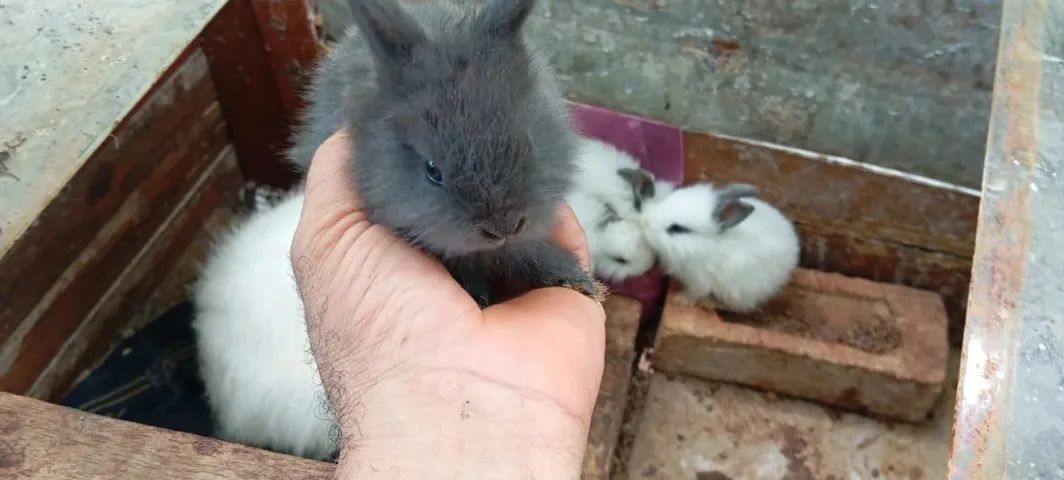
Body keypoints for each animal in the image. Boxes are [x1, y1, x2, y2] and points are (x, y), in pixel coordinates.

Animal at [639, 182, 800, 312]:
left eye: (677, 229)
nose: (645, 224)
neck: (707, 246)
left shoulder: (699, 279)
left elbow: (696, 292)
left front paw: (681, 299)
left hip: (737, 292)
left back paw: (709, 304)